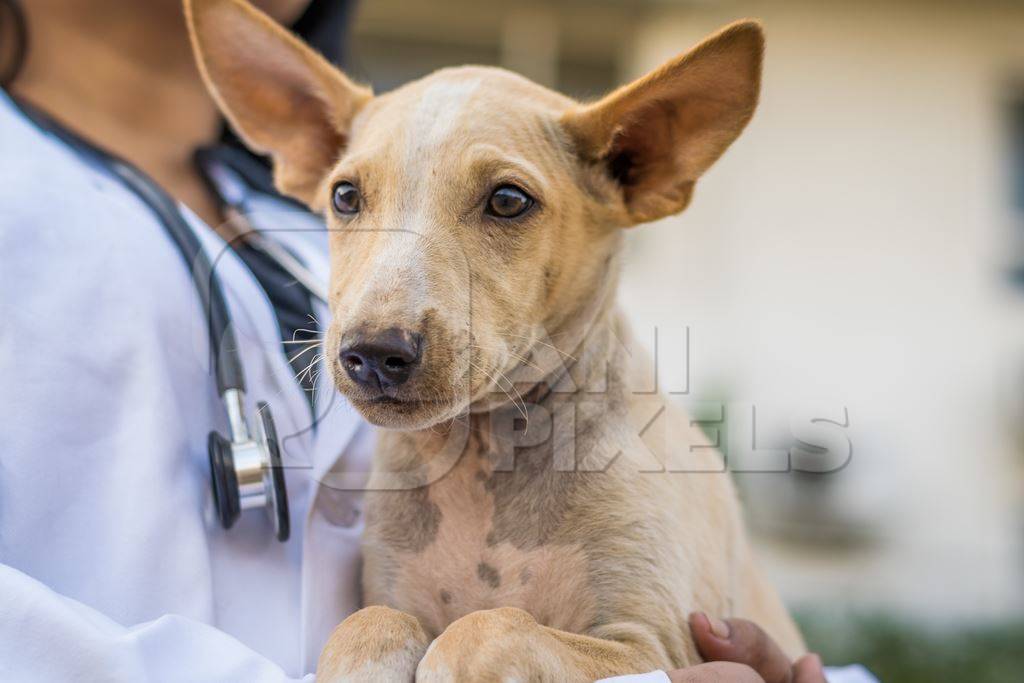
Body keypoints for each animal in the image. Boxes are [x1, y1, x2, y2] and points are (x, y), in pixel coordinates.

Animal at [188, 0, 802, 679]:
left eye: (508, 200)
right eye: (345, 196)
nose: (372, 354)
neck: (483, 454)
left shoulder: (653, 643)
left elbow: (487, 629)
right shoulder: (390, 590)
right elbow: (367, 623)